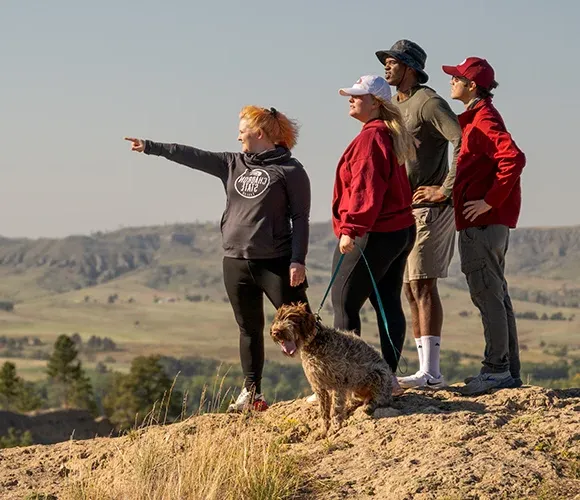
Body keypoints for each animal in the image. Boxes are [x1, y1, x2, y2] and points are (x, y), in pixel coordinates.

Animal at [270, 300, 392, 434]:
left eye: (291, 319)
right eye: (278, 319)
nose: (275, 332)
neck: (314, 344)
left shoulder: (338, 383)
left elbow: (336, 408)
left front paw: (335, 426)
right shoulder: (319, 386)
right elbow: (324, 411)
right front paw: (324, 430)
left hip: (378, 375)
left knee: (381, 399)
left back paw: (369, 405)